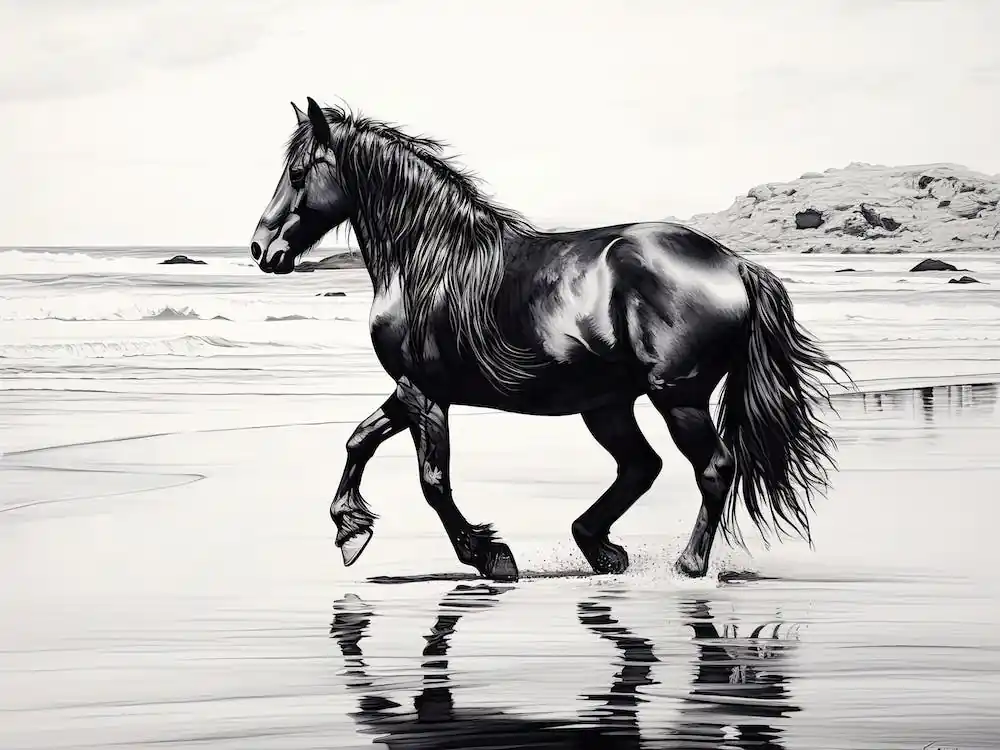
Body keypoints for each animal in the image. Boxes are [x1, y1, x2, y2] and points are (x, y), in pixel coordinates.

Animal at [249, 97, 851, 582]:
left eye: (298, 174)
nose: (260, 248)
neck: (431, 263)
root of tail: (736, 264)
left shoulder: (424, 394)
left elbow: (432, 480)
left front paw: (489, 555)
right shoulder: (412, 389)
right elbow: (359, 441)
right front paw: (351, 530)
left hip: (677, 397)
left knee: (713, 467)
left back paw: (688, 564)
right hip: (607, 405)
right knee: (641, 466)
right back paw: (601, 549)